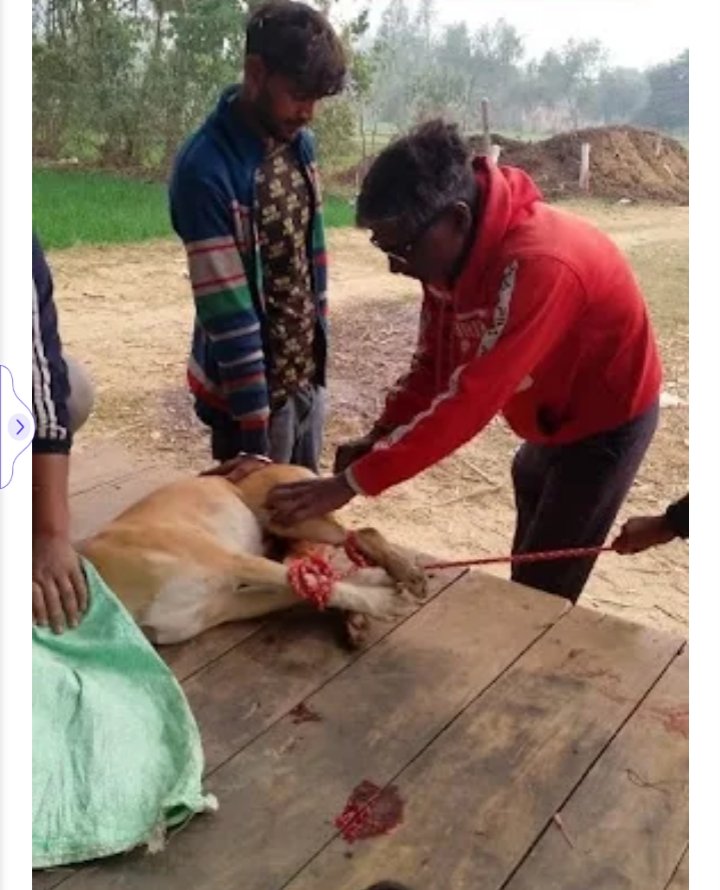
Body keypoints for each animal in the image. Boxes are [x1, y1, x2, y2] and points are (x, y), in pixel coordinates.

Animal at [78, 459, 428, 648]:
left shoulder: (231, 561)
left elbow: (322, 586)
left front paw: (382, 601)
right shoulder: (229, 603)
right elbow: (311, 589)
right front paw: (373, 596)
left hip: (293, 516)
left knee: (358, 534)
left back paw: (404, 571)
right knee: (342, 553)